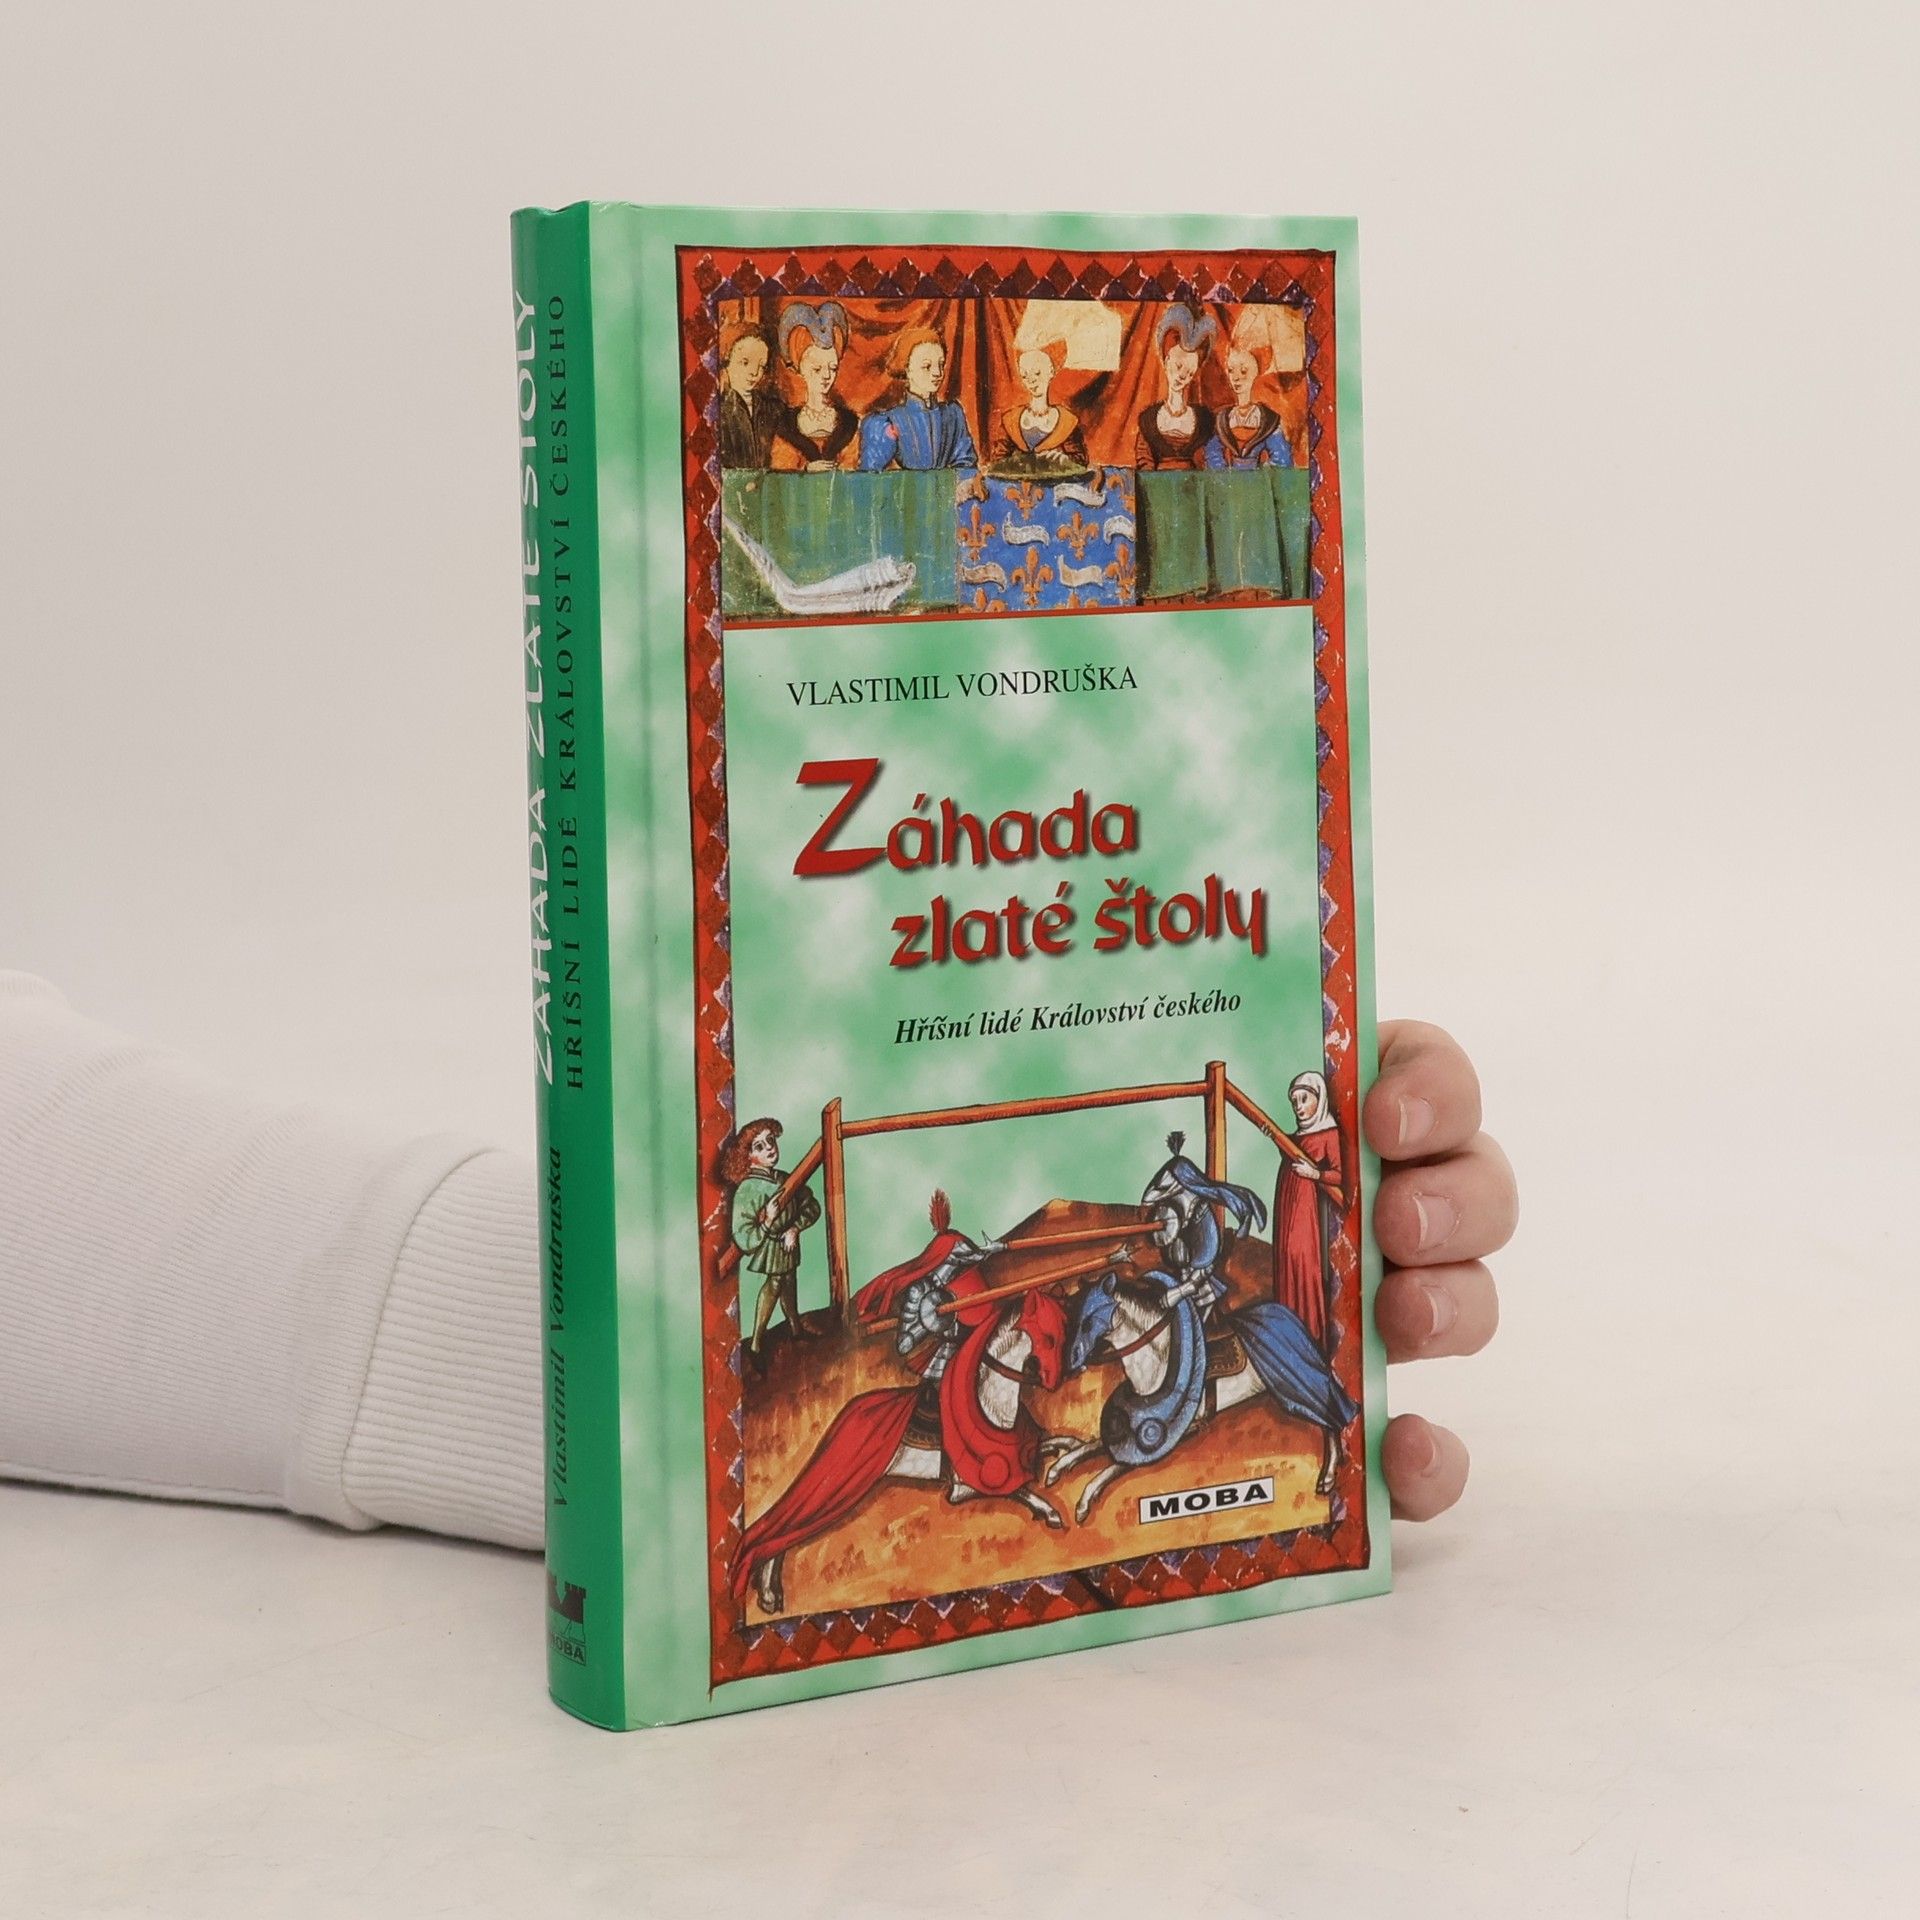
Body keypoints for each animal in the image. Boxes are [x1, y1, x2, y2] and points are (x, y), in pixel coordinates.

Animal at [732, 1281, 1073, 1618]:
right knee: (784, 1529)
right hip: (837, 1481)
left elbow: (1065, 1444)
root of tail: (847, 1413)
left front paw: (1062, 1465)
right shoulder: (965, 1487)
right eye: (1048, 1337)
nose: (1054, 1381)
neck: (990, 1404)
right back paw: (768, 1593)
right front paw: (1051, 1511)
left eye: (1063, 1330)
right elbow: (1022, 1490)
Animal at [1045, 1268, 1357, 1525]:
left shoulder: (1179, 1431)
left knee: (1329, 1415)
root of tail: (1286, 1312)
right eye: (1072, 1318)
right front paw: (1057, 1468)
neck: (1159, 1358)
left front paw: (1084, 1502)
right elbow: (1092, 1445)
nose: (1071, 1363)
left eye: (1089, 1320)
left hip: (1296, 1383)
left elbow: (1114, 1464)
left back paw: (1328, 1475)